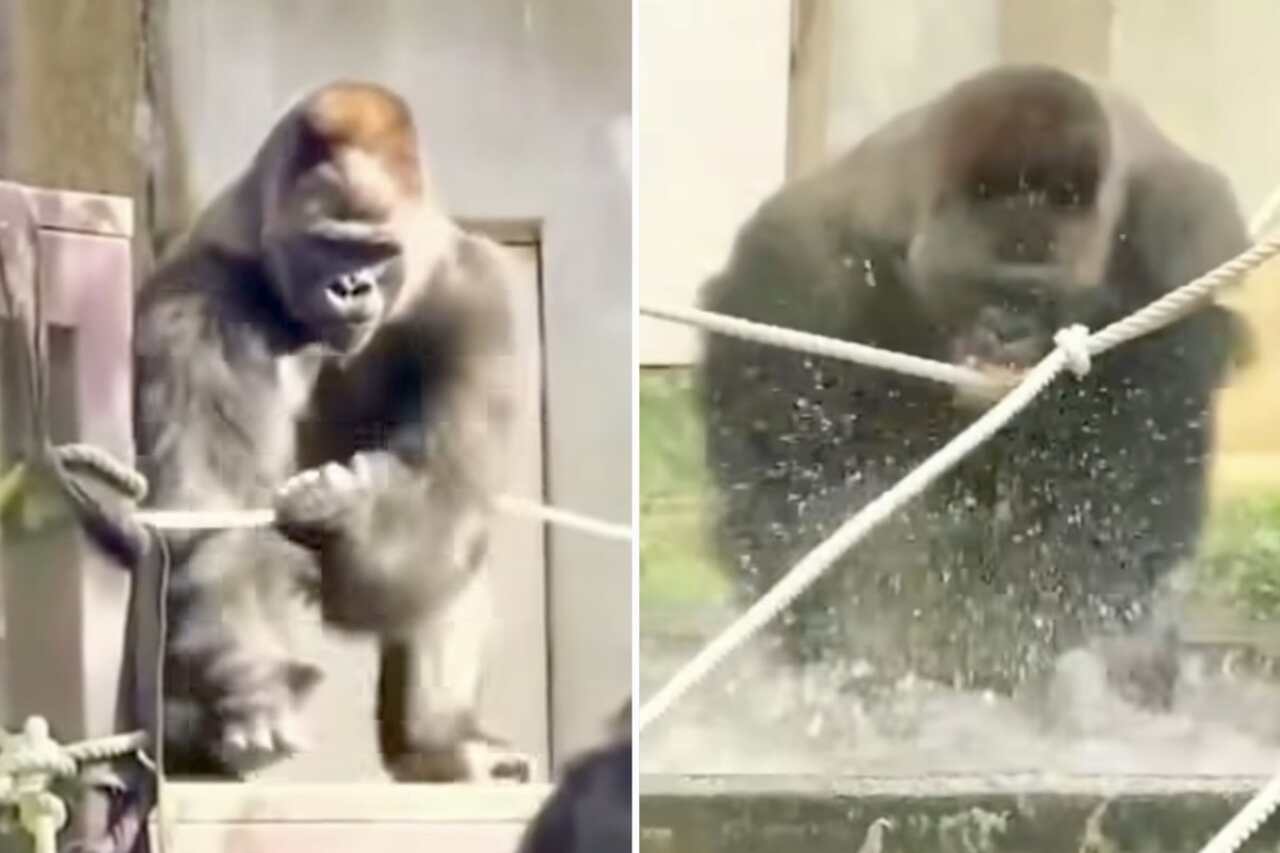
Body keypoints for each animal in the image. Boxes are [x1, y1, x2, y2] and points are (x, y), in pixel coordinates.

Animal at [124, 80, 531, 781]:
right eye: (328, 245)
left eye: (375, 251)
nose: (350, 286)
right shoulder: (198, 291)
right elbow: (212, 511)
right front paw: (255, 688)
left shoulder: (476, 290)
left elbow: (443, 494)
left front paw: (348, 512)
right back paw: (197, 739)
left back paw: (437, 741)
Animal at [699, 65, 1250, 711]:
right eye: (982, 287)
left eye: (1037, 296)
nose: (1005, 333)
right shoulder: (806, 262)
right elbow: (800, 486)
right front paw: (864, 655)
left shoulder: (1179, 258)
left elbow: (1124, 497)